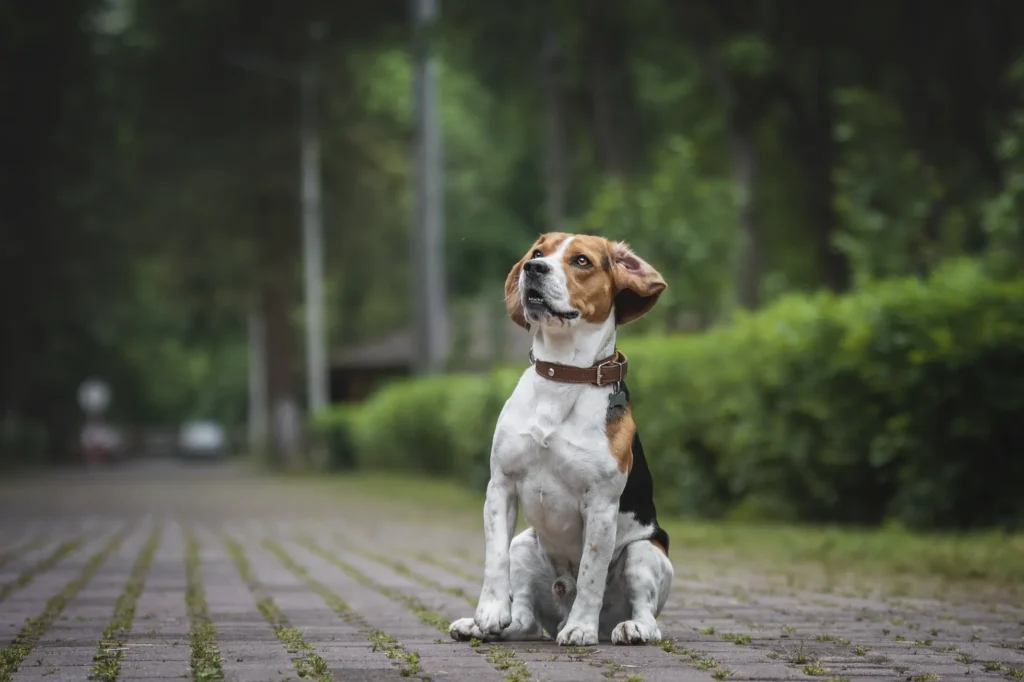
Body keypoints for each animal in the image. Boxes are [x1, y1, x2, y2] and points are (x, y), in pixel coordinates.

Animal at [452, 232, 675, 643]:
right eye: (538, 253)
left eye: (581, 261)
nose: (533, 268)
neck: (563, 373)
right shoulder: (500, 487)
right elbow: (494, 560)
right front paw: (488, 613)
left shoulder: (601, 505)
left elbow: (590, 574)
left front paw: (579, 629)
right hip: (525, 544)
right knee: (524, 621)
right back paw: (485, 627)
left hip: (643, 552)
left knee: (648, 616)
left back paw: (625, 627)